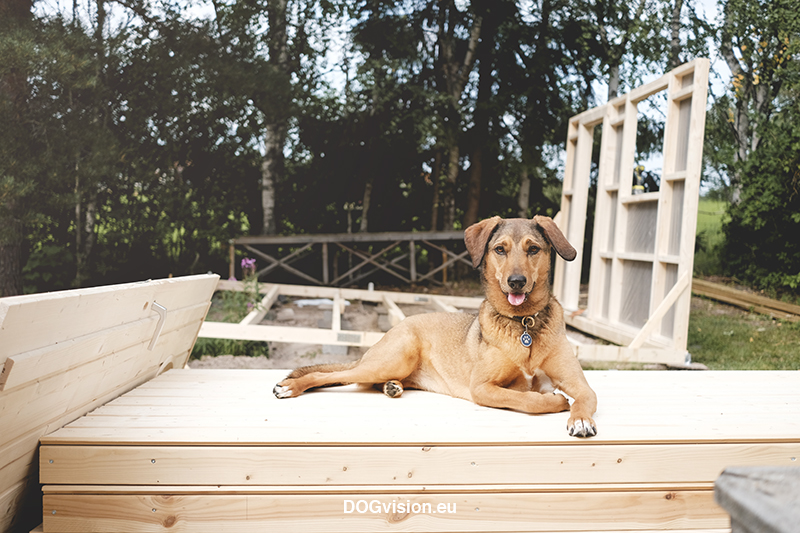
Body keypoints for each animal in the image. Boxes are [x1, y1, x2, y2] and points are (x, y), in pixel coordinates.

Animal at [272, 215, 596, 436]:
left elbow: (582, 398)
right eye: (500, 250)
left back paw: (392, 387)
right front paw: (555, 401)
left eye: (533, 249)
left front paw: (580, 419)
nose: (517, 281)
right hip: (391, 359)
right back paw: (291, 387)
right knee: (332, 376)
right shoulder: (482, 388)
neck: (524, 323)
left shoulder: (580, 384)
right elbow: (528, 400)